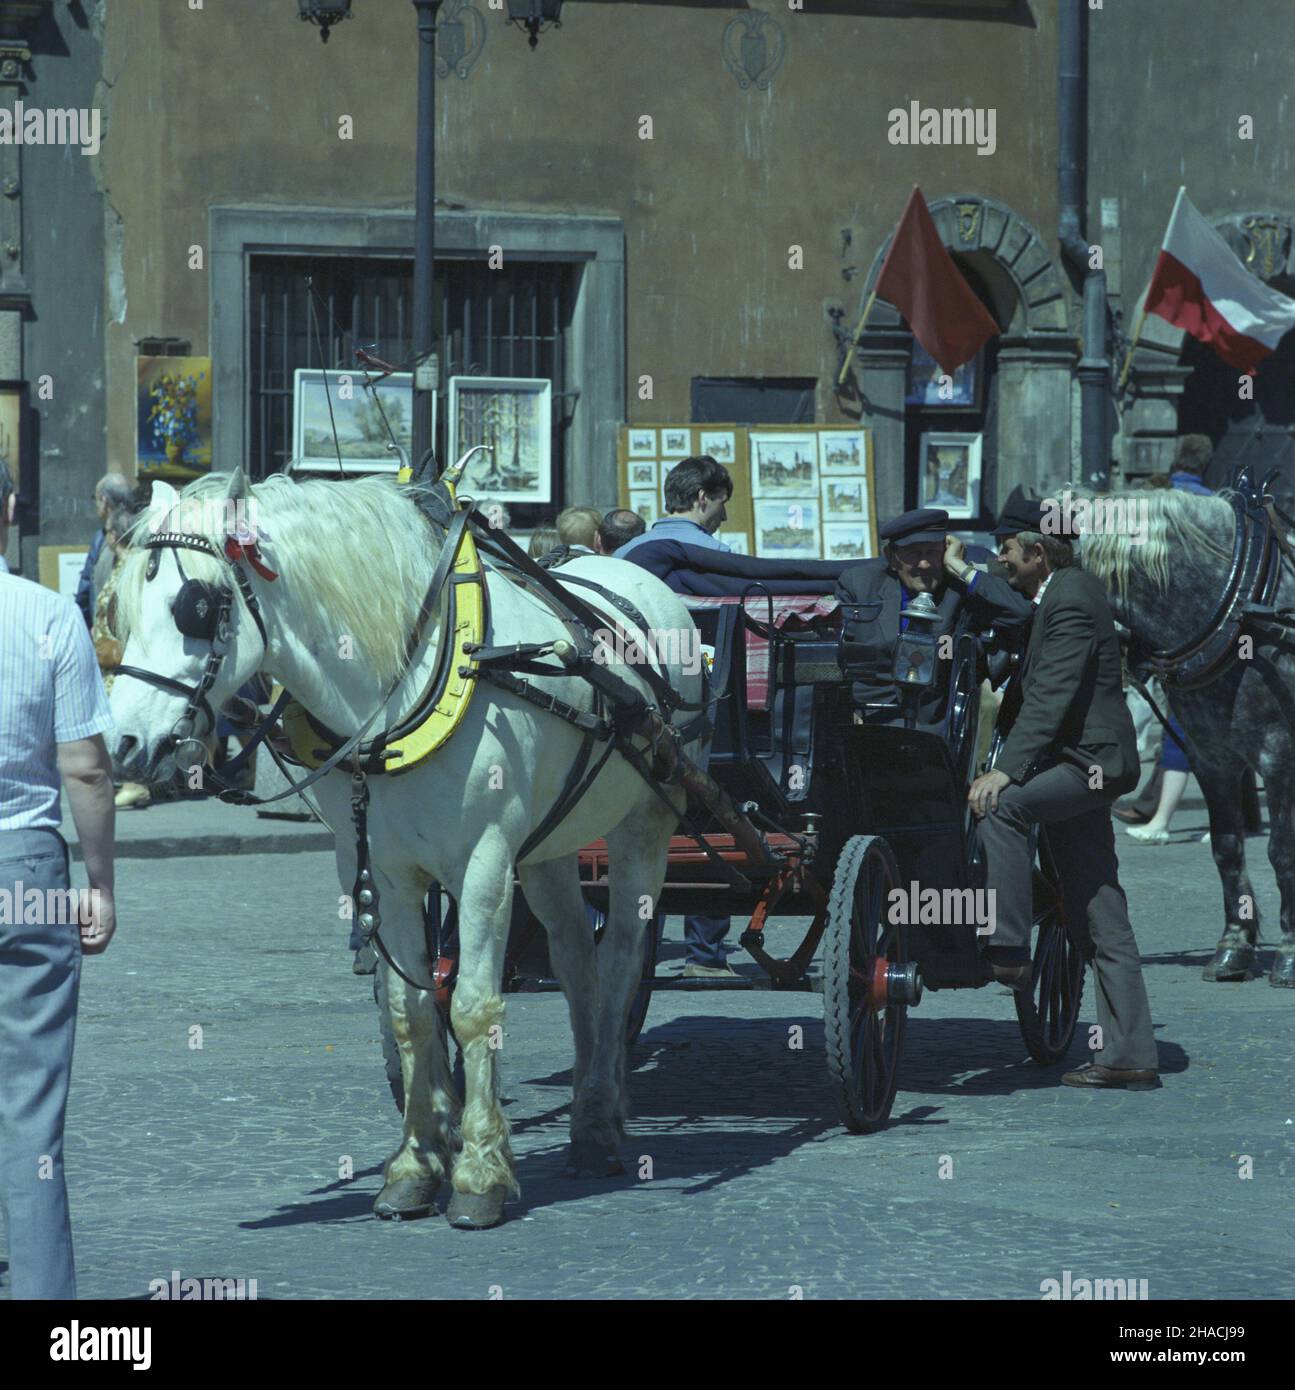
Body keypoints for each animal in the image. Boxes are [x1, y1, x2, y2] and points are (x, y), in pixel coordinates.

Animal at [109, 469, 708, 1228]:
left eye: (197, 606)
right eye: (122, 611)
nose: (123, 744)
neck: (409, 683)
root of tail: (631, 574)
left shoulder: (483, 863)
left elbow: (473, 1006)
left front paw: (480, 1174)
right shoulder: (384, 871)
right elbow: (410, 1009)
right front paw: (416, 1166)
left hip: (644, 824)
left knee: (623, 958)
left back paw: (601, 1121)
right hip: (548, 845)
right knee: (577, 959)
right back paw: (590, 1114)